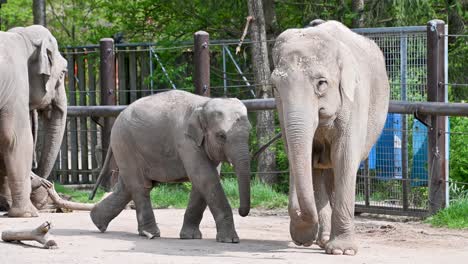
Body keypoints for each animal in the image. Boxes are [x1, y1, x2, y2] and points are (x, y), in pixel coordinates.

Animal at [91, 91, 252, 243]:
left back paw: (97, 221)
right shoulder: (185, 140)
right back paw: (151, 234)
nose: (242, 212)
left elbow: (201, 181)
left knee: (126, 188)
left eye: (249, 132)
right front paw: (230, 240)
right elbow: (205, 177)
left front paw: (190, 237)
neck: (203, 104)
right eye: (221, 136)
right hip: (124, 143)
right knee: (140, 186)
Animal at [268, 19, 390, 255]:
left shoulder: (355, 100)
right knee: (321, 171)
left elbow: (344, 157)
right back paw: (323, 239)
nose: (301, 240)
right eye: (274, 87)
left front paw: (343, 251)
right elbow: (309, 160)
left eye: (321, 83)